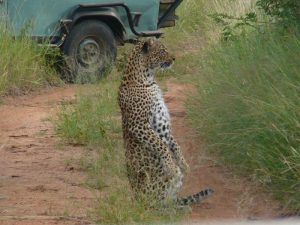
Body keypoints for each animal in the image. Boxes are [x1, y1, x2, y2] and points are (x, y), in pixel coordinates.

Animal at [117, 38, 213, 207]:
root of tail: (137, 198)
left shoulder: (161, 125)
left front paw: (183, 163)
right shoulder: (139, 126)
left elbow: (173, 144)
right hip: (151, 192)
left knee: (170, 200)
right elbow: (160, 145)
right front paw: (170, 166)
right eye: (162, 50)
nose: (174, 58)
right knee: (155, 204)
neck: (148, 79)